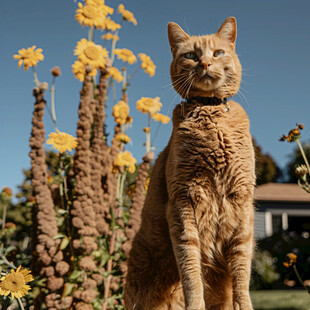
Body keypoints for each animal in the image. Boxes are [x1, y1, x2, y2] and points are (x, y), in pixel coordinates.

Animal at [124, 17, 256, 310]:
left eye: (218, 53)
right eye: (191, 56)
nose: (204, 63)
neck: (210, 111)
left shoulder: (242, 204)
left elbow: (242, 275)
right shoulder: (183, 203)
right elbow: (191, 271)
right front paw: (195, 303)